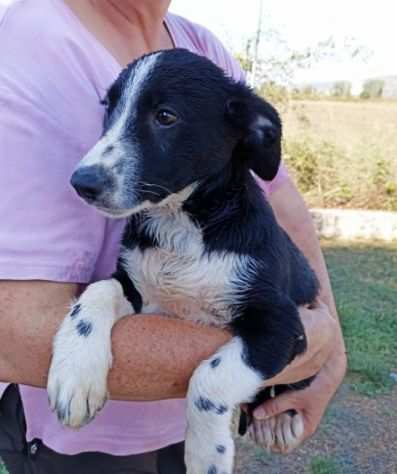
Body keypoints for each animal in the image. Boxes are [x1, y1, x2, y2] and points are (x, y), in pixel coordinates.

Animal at [47, 48, 318, 474]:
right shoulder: (137, 289)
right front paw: (76, 372)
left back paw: (279, 420)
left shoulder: (283, 325)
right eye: (110, 107)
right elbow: (97, 290)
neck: (183, 224)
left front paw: (208, 455)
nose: (82, 183)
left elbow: (207, 379)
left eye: (166, 116)